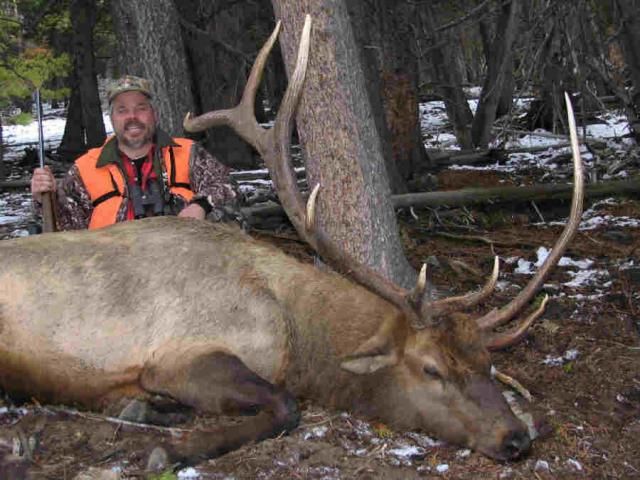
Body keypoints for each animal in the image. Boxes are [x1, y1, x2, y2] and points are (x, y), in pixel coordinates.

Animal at [0, 15, 584, 468]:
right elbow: (285, 406)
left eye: (487, 363)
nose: (515, 437)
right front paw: (172, 449)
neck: (296, 336)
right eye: (431, 368)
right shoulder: (178, 355)